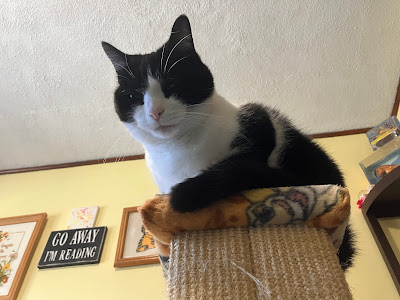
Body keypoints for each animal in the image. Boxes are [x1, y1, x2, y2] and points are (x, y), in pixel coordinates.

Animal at [101, 14, 354, 270]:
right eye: (134, 96)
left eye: (172, 84)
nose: (155, 112)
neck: (179, 149)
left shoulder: (259, 122)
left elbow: (232, 167)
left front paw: (181, 195)